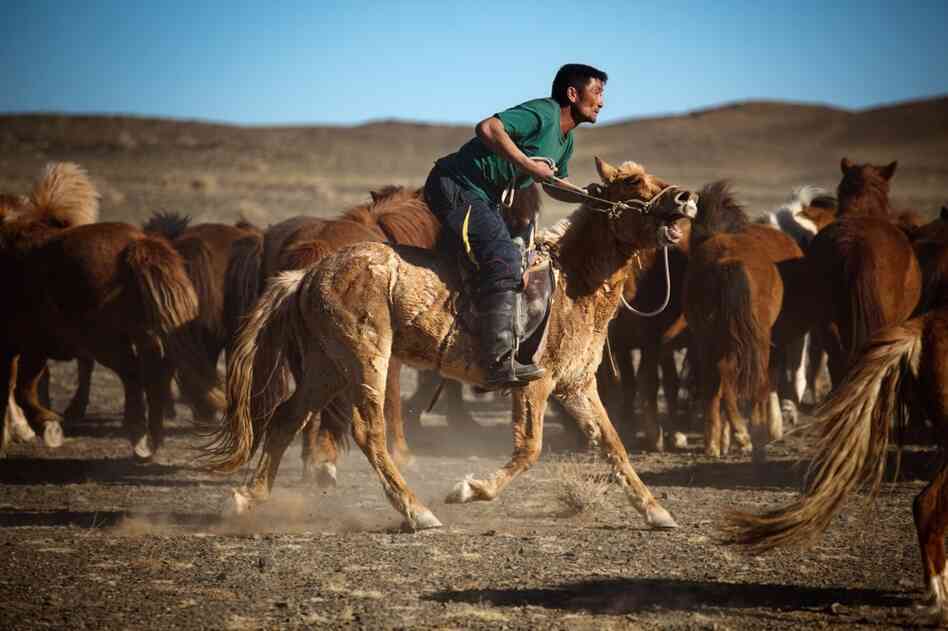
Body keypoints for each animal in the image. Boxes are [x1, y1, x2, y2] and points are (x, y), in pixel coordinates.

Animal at [0, 163, 222, 459]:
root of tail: (136, 244)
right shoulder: (32, 346)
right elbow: (22, 387)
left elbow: (16, 388)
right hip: (141, 336)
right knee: (154, 376)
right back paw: (150, 440)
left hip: (105, 342)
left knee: (135, 375)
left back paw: (137, 435)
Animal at [204, 157, 694, 532]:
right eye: (632, 183)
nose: (685, 198)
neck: (574, 282)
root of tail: (309, 273)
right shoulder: (535, 384)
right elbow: (529, 449)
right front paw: (469, 489)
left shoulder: (578, 386)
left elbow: (613, 445)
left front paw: (655, 511)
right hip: (365, 360)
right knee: (367, 431)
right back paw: (416, 511)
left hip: (326, 366)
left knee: (287, 418)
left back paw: (246, 499)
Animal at [682, 181, 804, 459]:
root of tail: (726, 259)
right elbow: (764, 380)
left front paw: (723, 439)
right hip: (756, 337)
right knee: (739, 373)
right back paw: (745, 434)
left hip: (708, 336)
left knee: (714, 378)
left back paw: (713, 442)